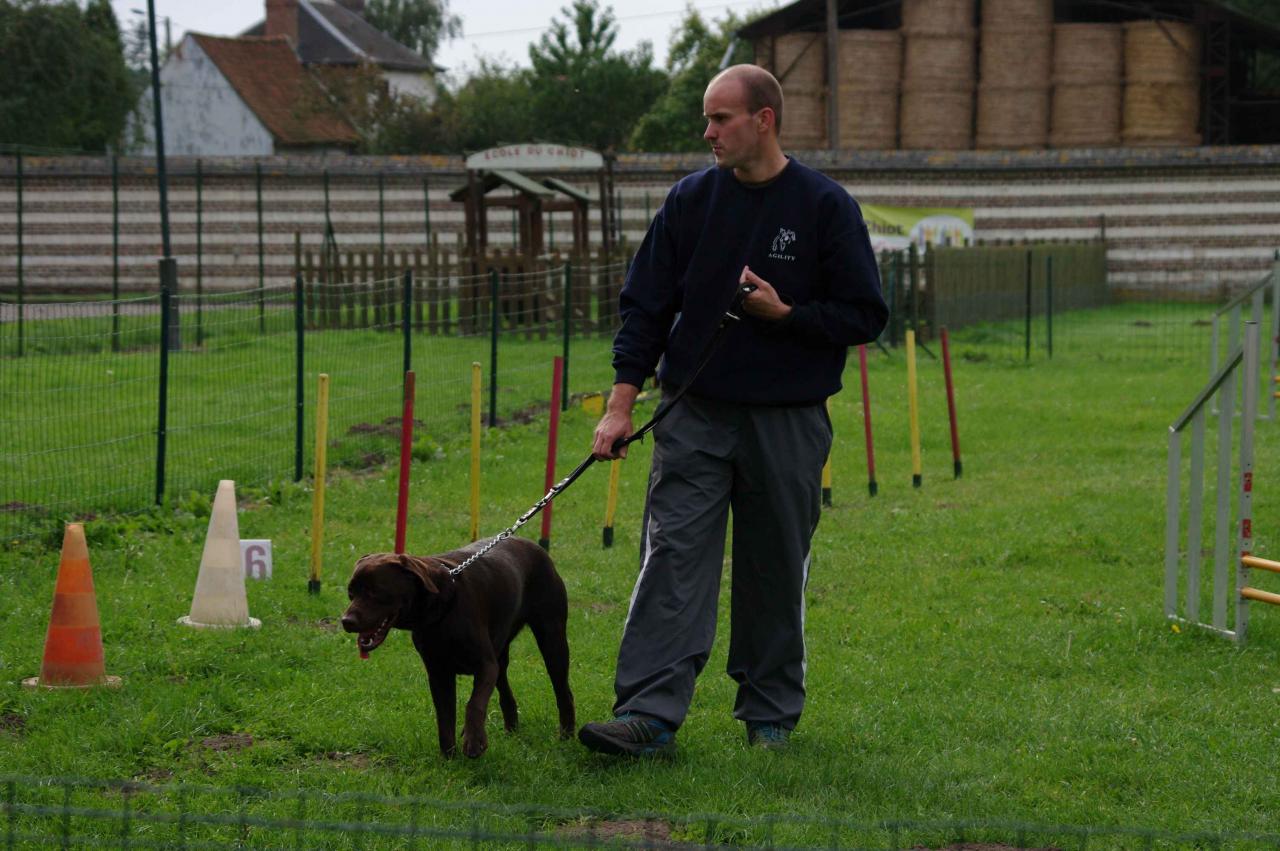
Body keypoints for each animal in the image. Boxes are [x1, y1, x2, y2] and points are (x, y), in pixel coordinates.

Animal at [343, 537, 578, 757]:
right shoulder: (439, 673)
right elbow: (445, 718)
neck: (441, 612)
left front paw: (473, 742)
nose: (346, 621)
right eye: (351, 593)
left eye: (375, 592)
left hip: (552, 639)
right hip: (500, 654)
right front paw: (449, 758)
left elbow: (474, 704)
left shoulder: (485, 665)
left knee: (563, 692)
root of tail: (535, 546)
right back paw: (511, 731)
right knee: (506, 693)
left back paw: (566, 736)